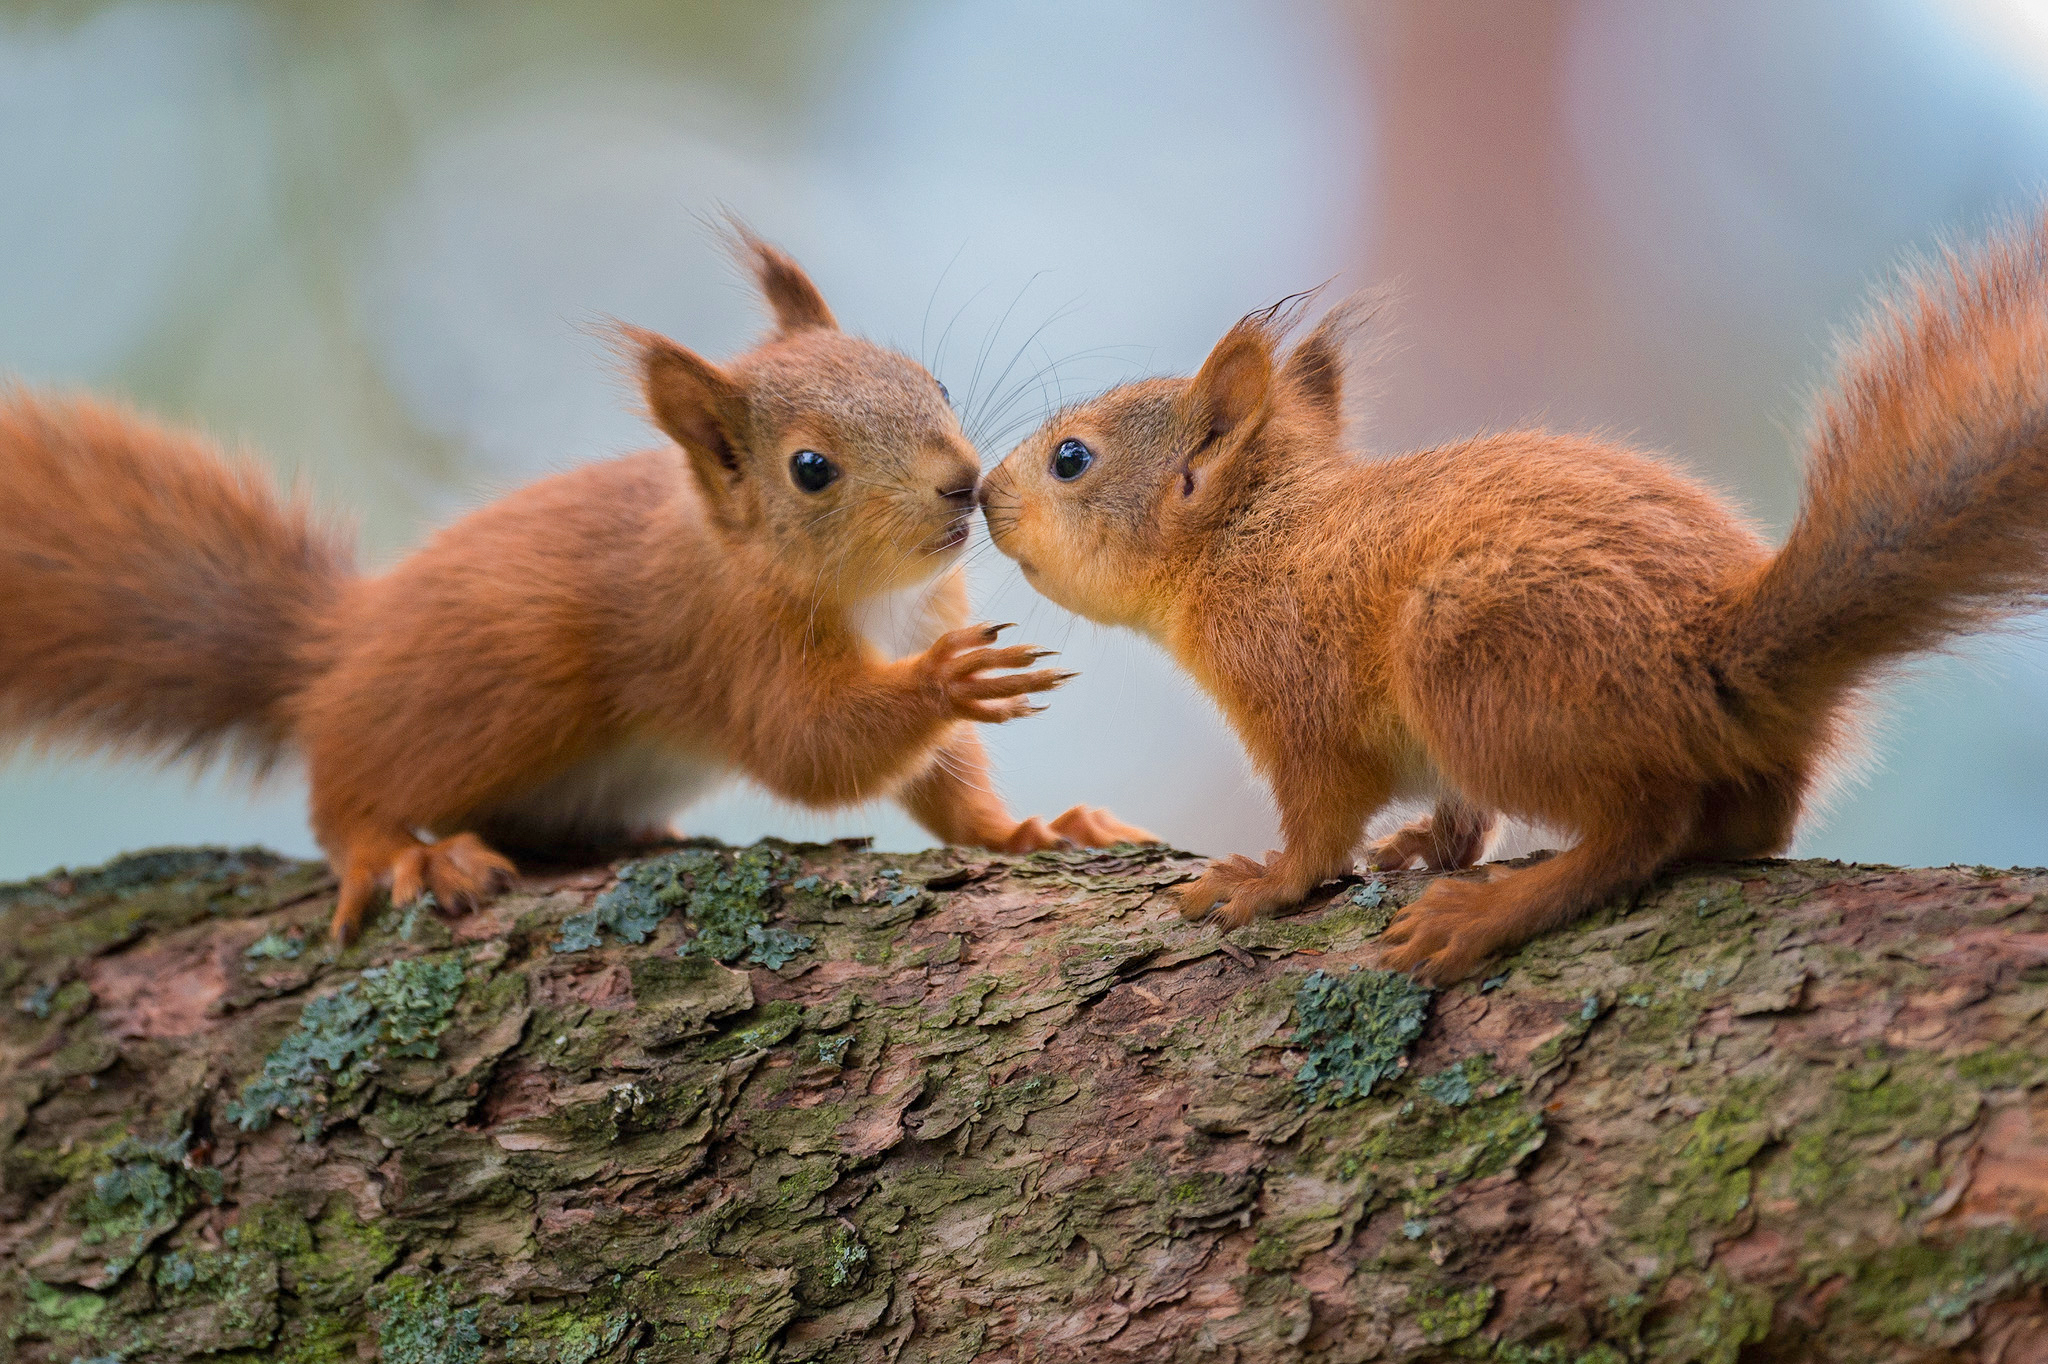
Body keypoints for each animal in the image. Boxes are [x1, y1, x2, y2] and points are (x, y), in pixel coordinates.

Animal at [0, 228, 1155, 943]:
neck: (873, 595)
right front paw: (949, 685)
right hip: (487, 692)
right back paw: (395, 849)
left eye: (931, 381)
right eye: (810, 469)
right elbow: (809, 746)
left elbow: (951, 789)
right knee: (342, 791)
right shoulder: (731, 641)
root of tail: (327, 653)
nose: (962, 483)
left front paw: (1028, 829)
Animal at [978, 210, 2048, 983]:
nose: (984, 495)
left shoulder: (1298, 695)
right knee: (1744, 827)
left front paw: (1263, 883)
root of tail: (1716, 656)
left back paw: (1496, 911)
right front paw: (1423, 843)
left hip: (1476, 666)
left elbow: (1320, 822)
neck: (1253, 539)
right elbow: (1459, 820)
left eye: (1071, 459)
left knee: (1642, 828)